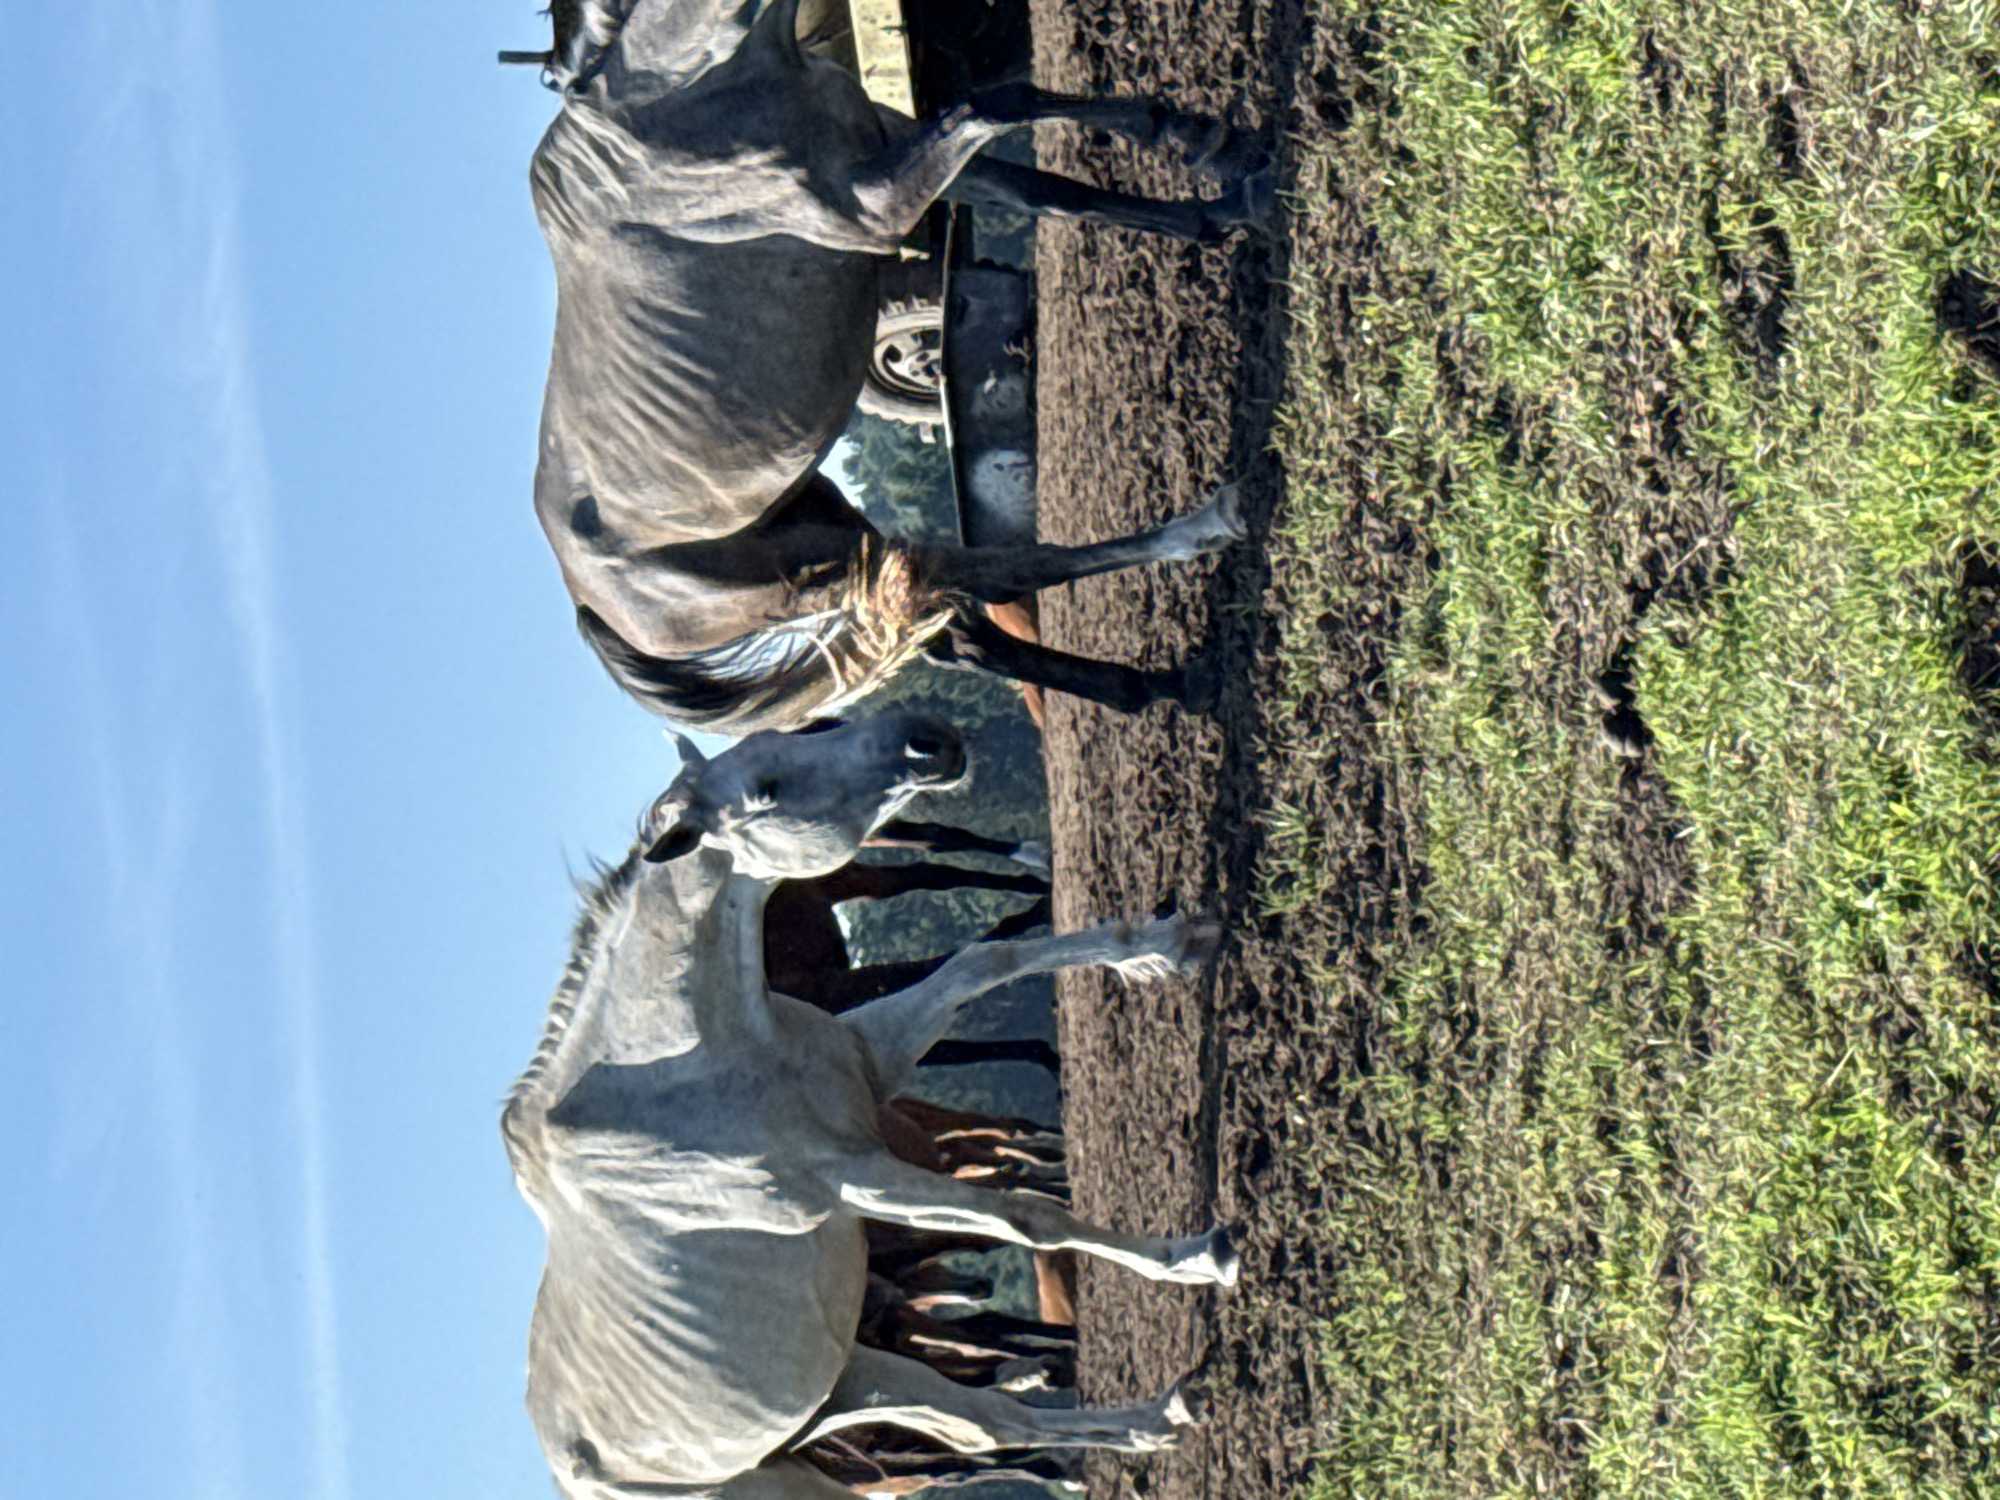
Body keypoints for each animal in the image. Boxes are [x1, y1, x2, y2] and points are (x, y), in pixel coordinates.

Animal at [503, 713, 1236, 1499]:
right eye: (766, 789)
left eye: (785, 740)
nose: (924, 739)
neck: (689, 1064)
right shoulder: (855, 1178)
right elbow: (1028, 1218)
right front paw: (1196, 1257)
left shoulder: (871, 1062)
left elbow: (985, 962)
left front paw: (1168, 944)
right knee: (985, 1430)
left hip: (847, 1384)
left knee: (986, 1425)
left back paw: (1159, 1420)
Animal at [518, 0, 1263, 731]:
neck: (680, 89)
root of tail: (595, 601)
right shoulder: (878, 205)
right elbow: (985, 110)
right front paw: (1216, 160)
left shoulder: (913, 155)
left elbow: (1044, 171)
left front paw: (1219, 170)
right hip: (805, 576)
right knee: (997, 574)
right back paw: (1207, 528)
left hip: (832, 541)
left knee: (961, 632)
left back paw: (1164, 686)